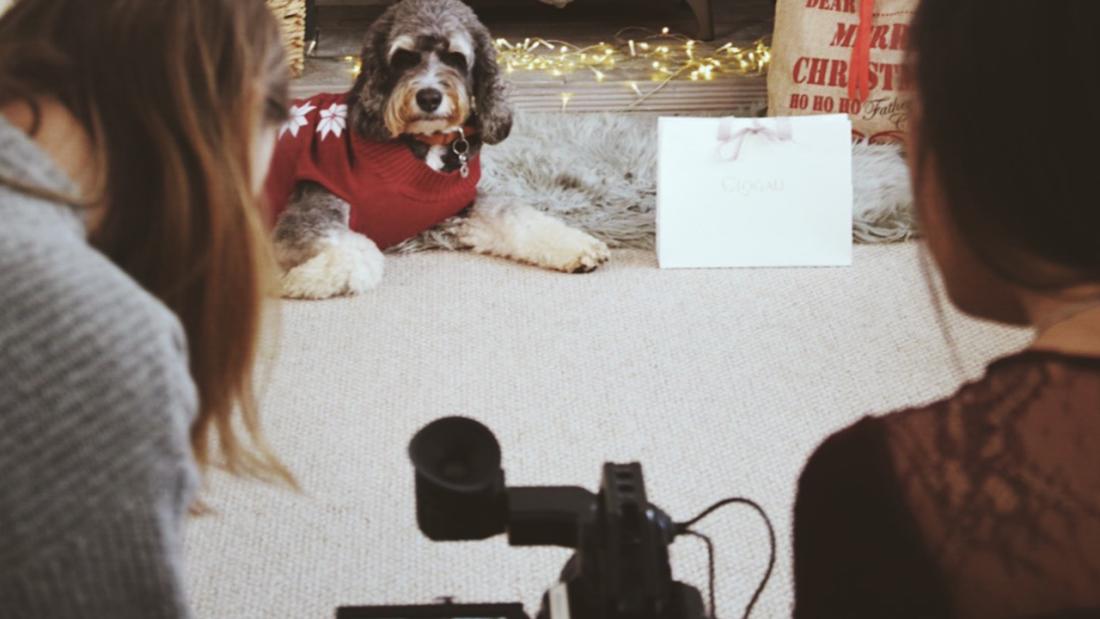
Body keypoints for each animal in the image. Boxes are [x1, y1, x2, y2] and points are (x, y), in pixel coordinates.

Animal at [265, 0, 611, 301]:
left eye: (455, 57)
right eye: (404, 56)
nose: (429, 97)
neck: (425, 144)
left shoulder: (458, 208)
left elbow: (516, 216)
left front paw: (581, 247)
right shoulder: (309, 210)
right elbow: (361, 254)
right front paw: (296, 279)